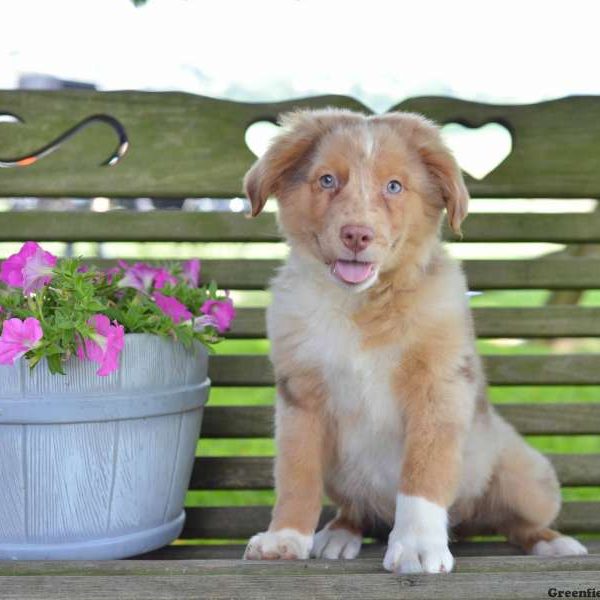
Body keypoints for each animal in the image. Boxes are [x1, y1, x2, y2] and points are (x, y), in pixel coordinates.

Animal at [240, 110, 584, 576]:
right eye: (327, 180)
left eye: (394, 186)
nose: (357, 235)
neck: (362, 306)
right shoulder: (300, 397)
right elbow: (296, 474)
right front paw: (285, 537)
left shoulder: (438, 390)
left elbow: (423, 474)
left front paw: (418, 546)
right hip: (342, 473)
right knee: (357, 508)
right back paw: (339, 533)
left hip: (528, 475)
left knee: (517, 523)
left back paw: (553, 543)